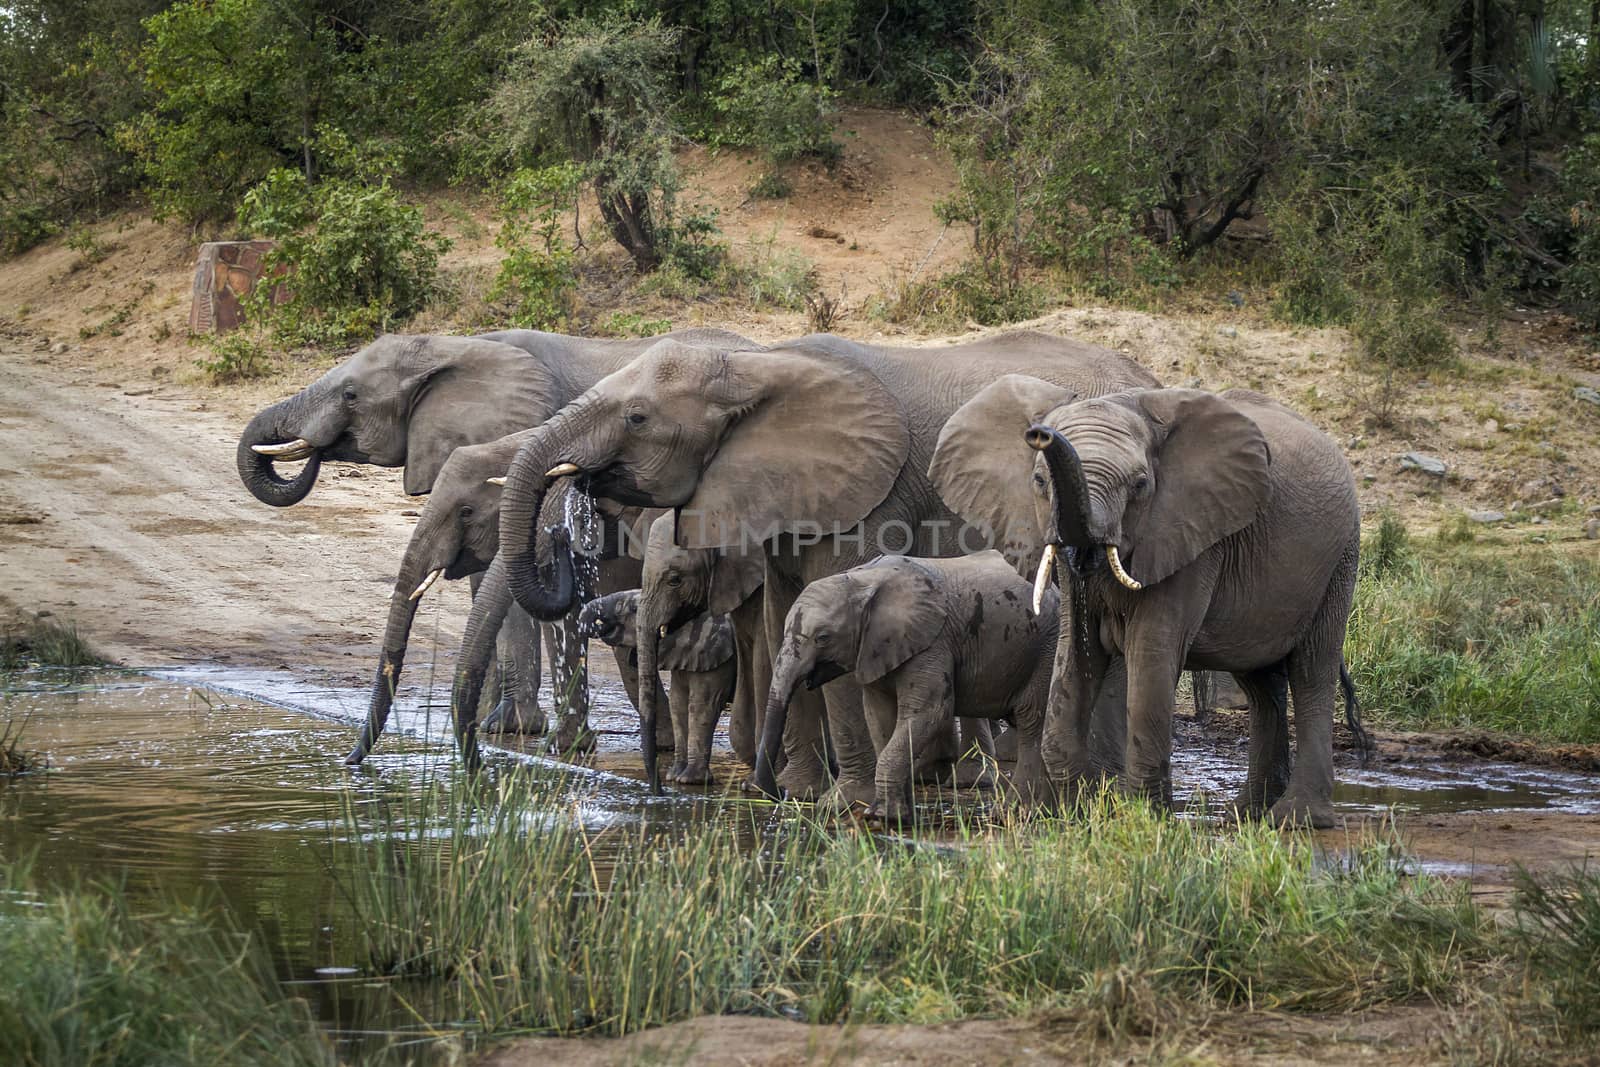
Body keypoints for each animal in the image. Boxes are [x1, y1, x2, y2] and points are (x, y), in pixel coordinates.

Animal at [582, 588, 736, 790]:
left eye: (633, 609)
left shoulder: (714, 654)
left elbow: (702, 705)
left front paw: (690, 781)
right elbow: (678, 703)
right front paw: (674, 776)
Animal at [755, 550, 1056, 825]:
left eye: (823, 638)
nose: (778, 793)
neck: (862, 580)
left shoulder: (933, 642)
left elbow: (929, 712)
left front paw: (882, 816)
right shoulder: (875, 648)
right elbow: (879, 717)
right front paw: (898, 815)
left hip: (1044, 650)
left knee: (1031, 721)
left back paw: (1018, 814)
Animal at [934, 379, 1363, 831]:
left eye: (1140, 485)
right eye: (1038, 480)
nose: (1040, 433)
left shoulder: (1189, 536)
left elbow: (1151, 652)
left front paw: (1140, 817)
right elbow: (1076, 655)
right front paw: (1079, 810)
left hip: (1339, 558)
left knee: (1312, 671)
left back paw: (1297, 819)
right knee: (1261, 683)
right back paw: (1247, 814)